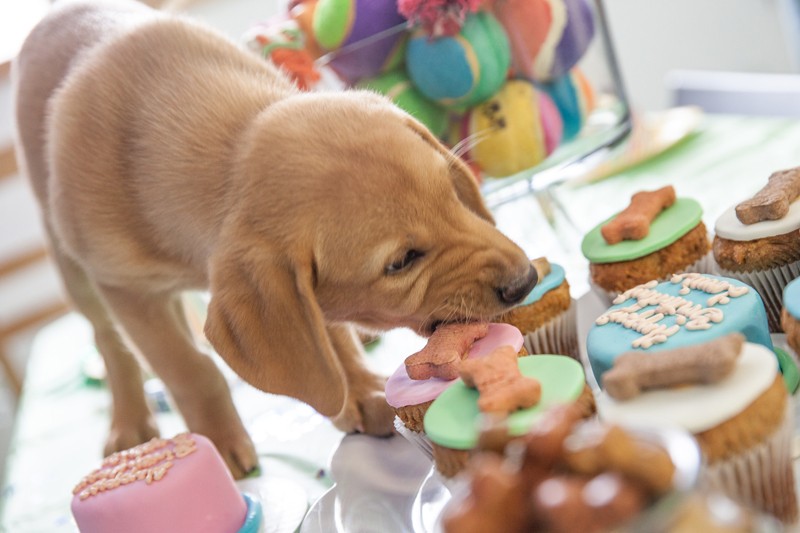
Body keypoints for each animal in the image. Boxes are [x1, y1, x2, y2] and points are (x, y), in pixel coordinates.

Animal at [12, 1, 536, 478]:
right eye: (401, 262)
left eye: (453, 195)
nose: (527, 281)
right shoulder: (127, 290)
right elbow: (190, 368)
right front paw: (218, 439)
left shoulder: (300, 295)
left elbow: (328, 334)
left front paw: (357, 389)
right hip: (74, 270)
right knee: (109, 340)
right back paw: (129, 420)